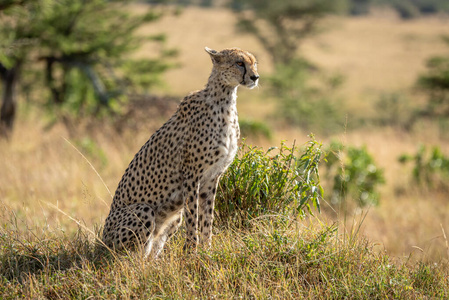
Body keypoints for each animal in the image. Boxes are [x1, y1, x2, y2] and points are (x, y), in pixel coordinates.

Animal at [100, 47, 258, 258]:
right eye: (239, 63)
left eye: (254, 63)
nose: (255, 77)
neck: (225, 101)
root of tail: (102, 240)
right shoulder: (192, 174)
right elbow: (193, 216)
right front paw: (191, 252)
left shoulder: (212, 177)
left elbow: (207, 217)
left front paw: (207, 251)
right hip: (142, 210)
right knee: (132, 257)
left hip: (174, 218)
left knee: (152, 250)